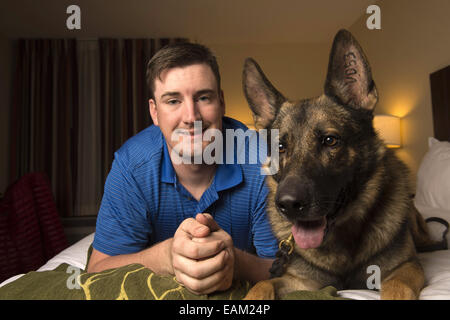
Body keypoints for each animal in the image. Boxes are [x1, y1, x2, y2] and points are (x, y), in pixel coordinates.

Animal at [243, 30, 436, 300]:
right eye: (280, 146)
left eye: (330, 140)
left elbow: (397, 287)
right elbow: (261, 285)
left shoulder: (405, 268)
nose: (288, 205)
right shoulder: (302, 282)